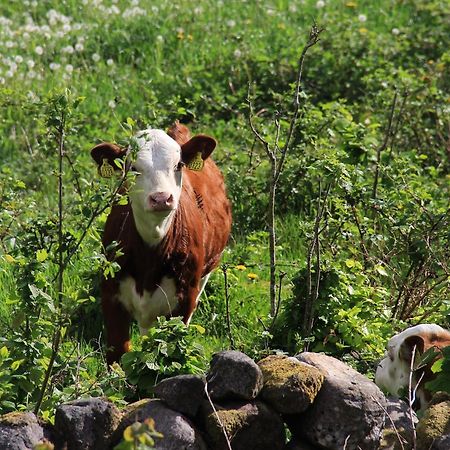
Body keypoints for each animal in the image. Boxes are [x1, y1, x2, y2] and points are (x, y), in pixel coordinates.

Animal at [91, 123, 232, 366]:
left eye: (179, 165)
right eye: (133, 168)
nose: (161, 198)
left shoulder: (184, 299)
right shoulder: (110, 295)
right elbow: (117, 355)